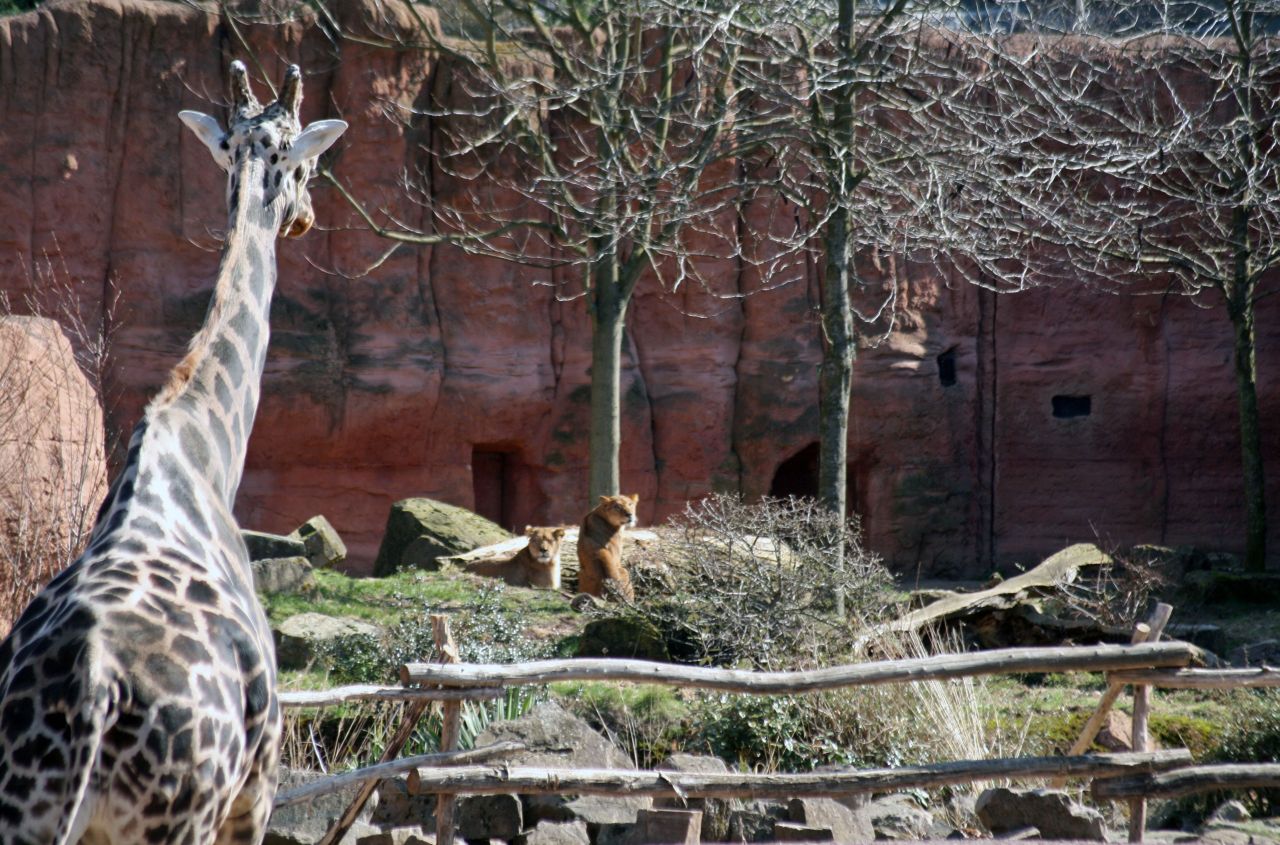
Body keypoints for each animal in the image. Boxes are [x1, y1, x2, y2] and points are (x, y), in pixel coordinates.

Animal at [0, 61, 348, 845]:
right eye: (306, 163)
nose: (307, 216)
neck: (203, 454)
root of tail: (92, 690)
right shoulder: (257, 789)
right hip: (180, 815)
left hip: (25, 810)